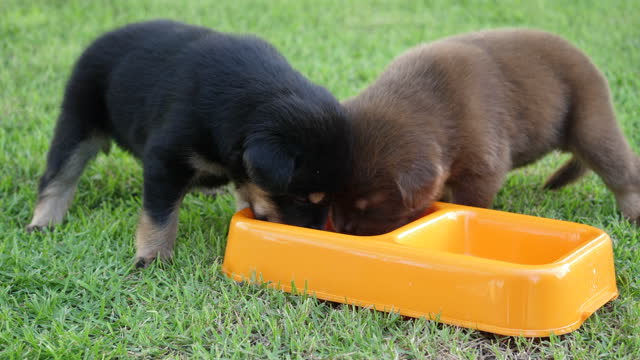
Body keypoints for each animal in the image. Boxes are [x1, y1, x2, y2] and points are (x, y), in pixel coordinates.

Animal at [27, 19, 352, 268]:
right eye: (300, 198)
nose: (313, 236)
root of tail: (103, 36)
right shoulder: (166, 159)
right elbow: (160, 215)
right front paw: (153, 257)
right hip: (79, 116)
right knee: (60, 173)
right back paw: (44, 221)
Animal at [332, 28, 640, 236]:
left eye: (367, 207)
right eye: (333, 195)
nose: (343, 228)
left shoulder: (482, 165)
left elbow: (472, 201)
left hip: (590, 118)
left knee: (620, 167)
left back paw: (632, 211)